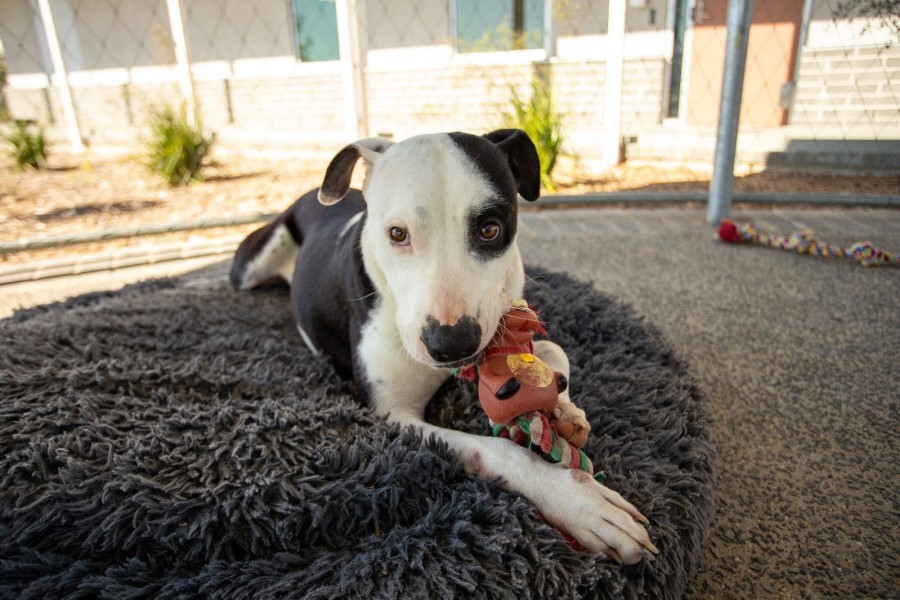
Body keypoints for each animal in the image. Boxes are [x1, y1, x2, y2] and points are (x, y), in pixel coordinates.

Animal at [230, 129, 657, 564]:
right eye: (397, 234)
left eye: (490, 229)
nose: (452, 343)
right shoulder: (392, 414)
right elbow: (496, 450)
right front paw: (578, 501)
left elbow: (553, 351)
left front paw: (564, 413)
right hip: (249, 266)